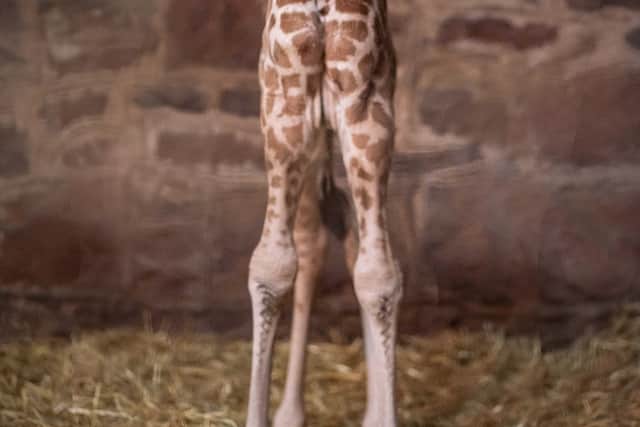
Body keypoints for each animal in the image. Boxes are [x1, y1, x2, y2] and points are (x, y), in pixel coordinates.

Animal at [246, 1, 401, 426]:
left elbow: (310, 243)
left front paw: (289, 412)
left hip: (283, 111)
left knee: (272, 262)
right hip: (369, 116)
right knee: (377, 273)